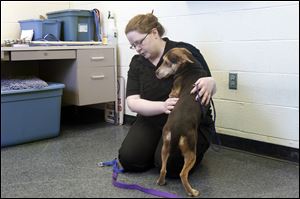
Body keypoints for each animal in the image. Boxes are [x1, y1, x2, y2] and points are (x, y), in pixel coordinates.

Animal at [155, 47, 209, 197]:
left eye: (167, 62)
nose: (156, 73)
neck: (191, 67)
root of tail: (176, 129)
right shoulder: (173, 93)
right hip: (191, 152)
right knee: (183, 174)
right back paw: (192, 192)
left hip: (165, 146)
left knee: (163, 168)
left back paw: (161, 182)